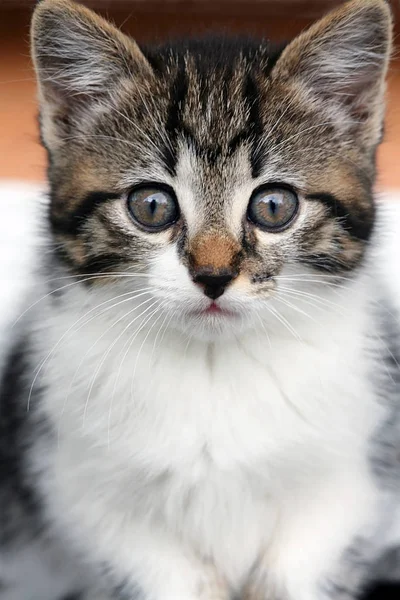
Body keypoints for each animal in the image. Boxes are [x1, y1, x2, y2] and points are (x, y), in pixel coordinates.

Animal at [0, 0, 400, 596]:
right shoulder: (85, 496)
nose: (212, 275)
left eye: (274, 206)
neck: (214, 367)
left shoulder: (347, 491)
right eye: (152, 206)